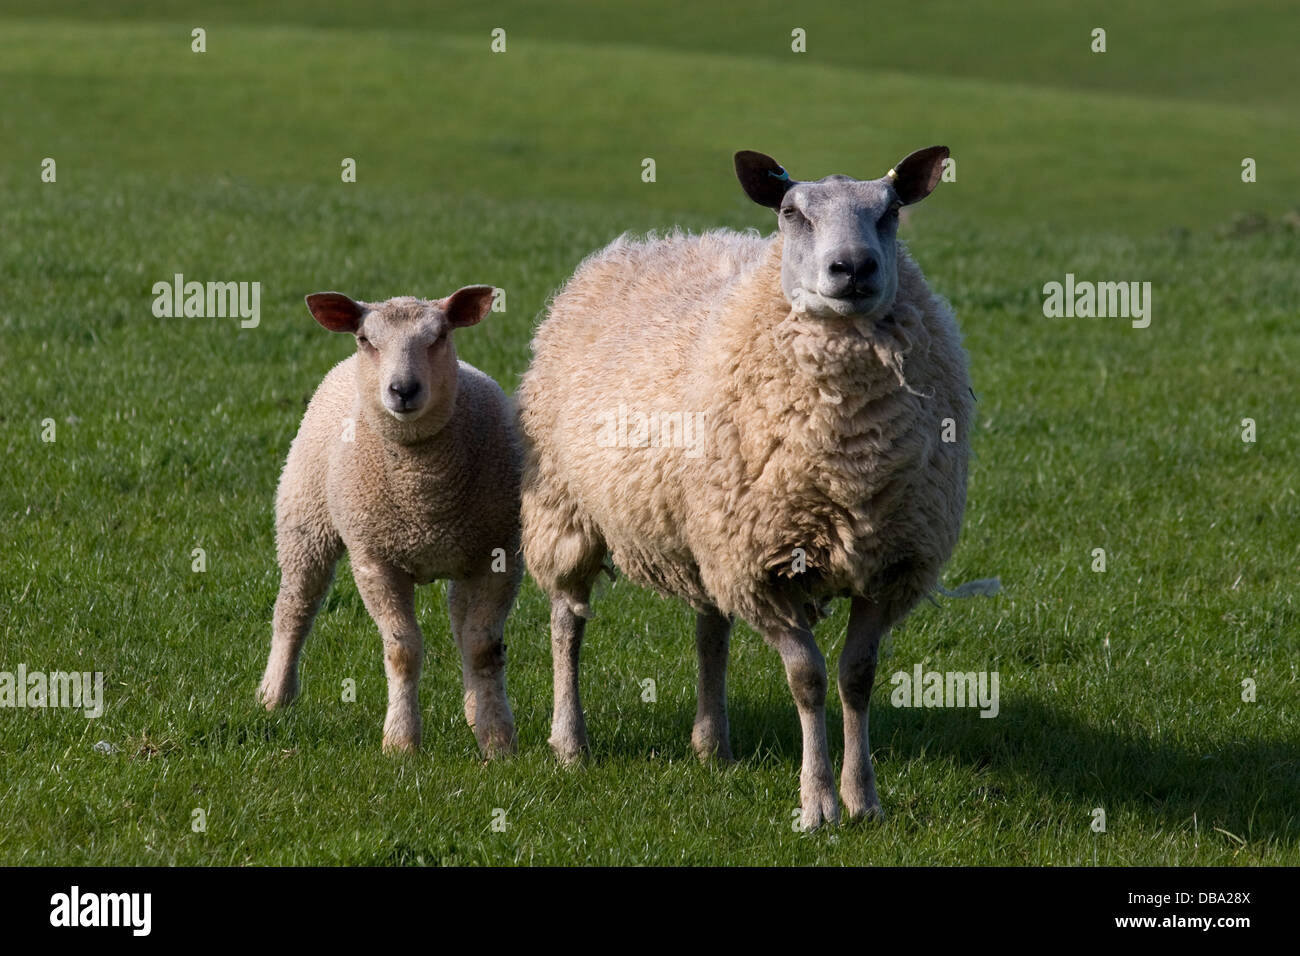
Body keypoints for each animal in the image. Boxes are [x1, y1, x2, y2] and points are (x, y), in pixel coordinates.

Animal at [256, 287, 520, 759]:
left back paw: (474, 708)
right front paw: (400, 742)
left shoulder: (501, 555)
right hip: (303, 518)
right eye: (366, 339)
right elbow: (402, 650)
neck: (424, 494)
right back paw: (274, 695)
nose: (403, 389)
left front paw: (496, 741)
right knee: (295, 607)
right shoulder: (374, 561)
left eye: (439, 336)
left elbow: (482, 647)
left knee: (461, 625)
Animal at [512, 145, 972, 827]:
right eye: (791, 212)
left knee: (710, 629)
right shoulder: (763, 566)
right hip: (566, 510)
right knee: (568, 621)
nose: (853, 268)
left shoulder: (891, 564)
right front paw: (818, 804)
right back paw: (571, 742)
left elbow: (856, 676)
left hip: (706, 529)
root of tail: (649, 244)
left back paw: (713, 744)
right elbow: (808, 679)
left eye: (891, 211)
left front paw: (864, 800)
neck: (847, 457)